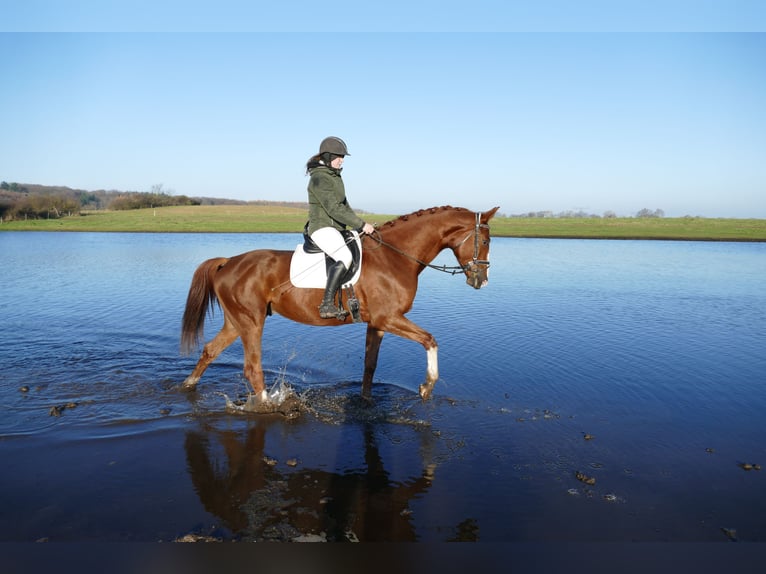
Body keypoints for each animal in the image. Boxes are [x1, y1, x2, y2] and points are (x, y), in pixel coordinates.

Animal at [180, 205, 499, 405]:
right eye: (485, 240)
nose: (482, 281)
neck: (395, 256)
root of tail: (228, 262)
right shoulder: (389, 318)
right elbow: (430, 340)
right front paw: (427, 386)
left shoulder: (376, 324)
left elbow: (370, 365)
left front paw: (366, 400)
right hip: (251, 323)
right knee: (252, 368)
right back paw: (268, 404)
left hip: (237, 322)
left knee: (209, 351)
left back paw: (187, 386)